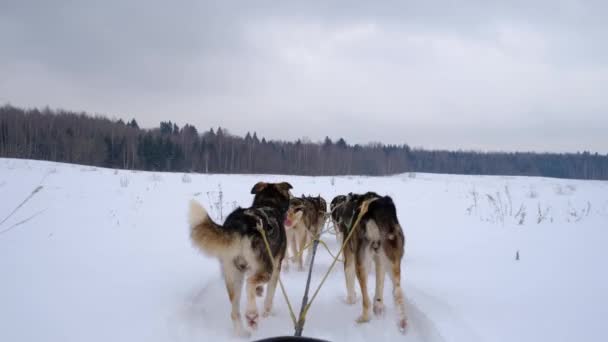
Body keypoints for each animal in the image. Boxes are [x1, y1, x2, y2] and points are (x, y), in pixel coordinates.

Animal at [190, 182, 294, 336]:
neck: (268, 203)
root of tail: (240, 224)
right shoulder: (276, 268)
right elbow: (269, 297)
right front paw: (267, 312)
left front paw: (259, 291)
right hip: (265, 269)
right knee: (250, 283)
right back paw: (252, 315)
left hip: (233, 275)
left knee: (234, 312)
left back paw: (242, 333)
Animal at [330, 192, 406, 334]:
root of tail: (376, 206)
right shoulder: (380, 262)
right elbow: (379, 287)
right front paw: (379, 306)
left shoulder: (349, 255)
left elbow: (348, 276)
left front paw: (350, 299)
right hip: (392, 259)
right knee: (397, 291)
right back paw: (402, 321)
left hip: (361, 263)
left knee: (366, 300)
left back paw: (364, 318)